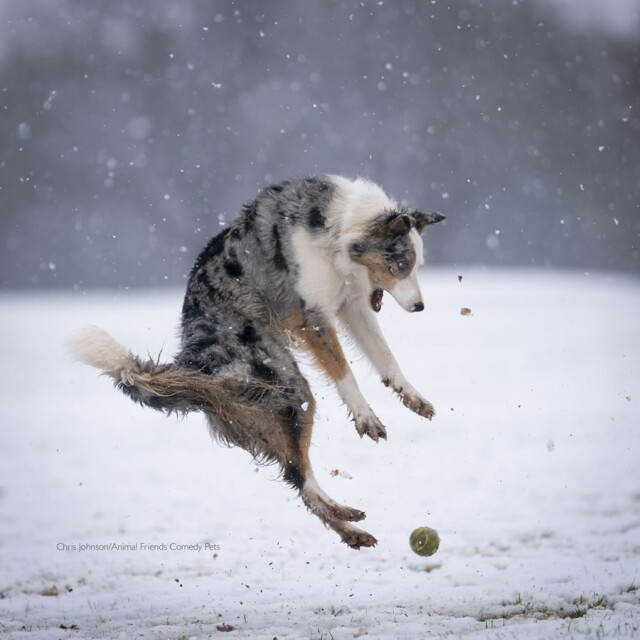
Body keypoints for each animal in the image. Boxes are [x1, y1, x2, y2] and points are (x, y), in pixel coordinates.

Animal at [67, 176, 442, 552]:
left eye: (416, 264)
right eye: (400, 265)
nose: (420, 307)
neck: (337, 227)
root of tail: (194, 361)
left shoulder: (352, 305)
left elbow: (384, 355)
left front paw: (411, 395)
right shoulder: (314, 317)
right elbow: (343, 371)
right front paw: (366, 416)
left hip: (271, 409)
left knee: (295, 476)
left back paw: (351, 529)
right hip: (291, 388)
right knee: (299, 474)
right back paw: (342, 511)